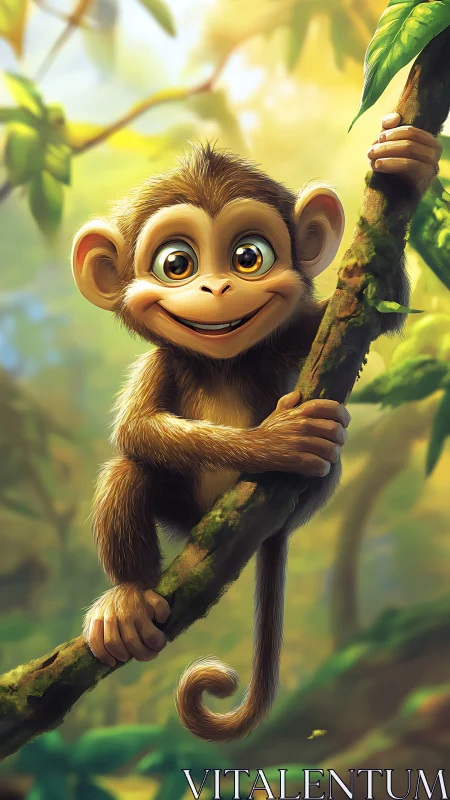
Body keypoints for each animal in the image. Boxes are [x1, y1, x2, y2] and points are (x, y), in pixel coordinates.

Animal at [71, 111, 441, 742]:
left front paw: (409, 161)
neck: (225, 360)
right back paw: (128, 600)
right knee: (128, 470)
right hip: (183, 513)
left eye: (250, 256)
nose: (217, 288)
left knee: (330, 455)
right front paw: (277, 440)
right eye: (176, 264)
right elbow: (137, 432)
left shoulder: (289, 335)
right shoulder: (163, 361)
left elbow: (373, 308)